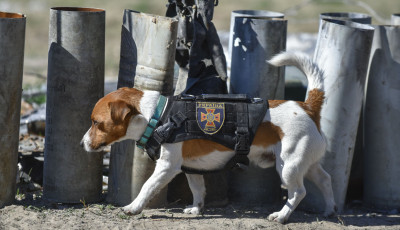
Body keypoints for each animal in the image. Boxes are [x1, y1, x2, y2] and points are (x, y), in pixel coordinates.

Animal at [81, 51, 338, 223]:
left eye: (96, 123)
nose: (82, 143)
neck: (158, 115)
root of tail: (307, 106)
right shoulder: (191, 168)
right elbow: (198, 190)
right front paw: (196, 209)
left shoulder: (167, 167)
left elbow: (146, 187)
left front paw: (133, 207)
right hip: (307, 163)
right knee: (325, 180)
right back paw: (329, 210)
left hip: (288, 166)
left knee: (298, 192)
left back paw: (282, 215)